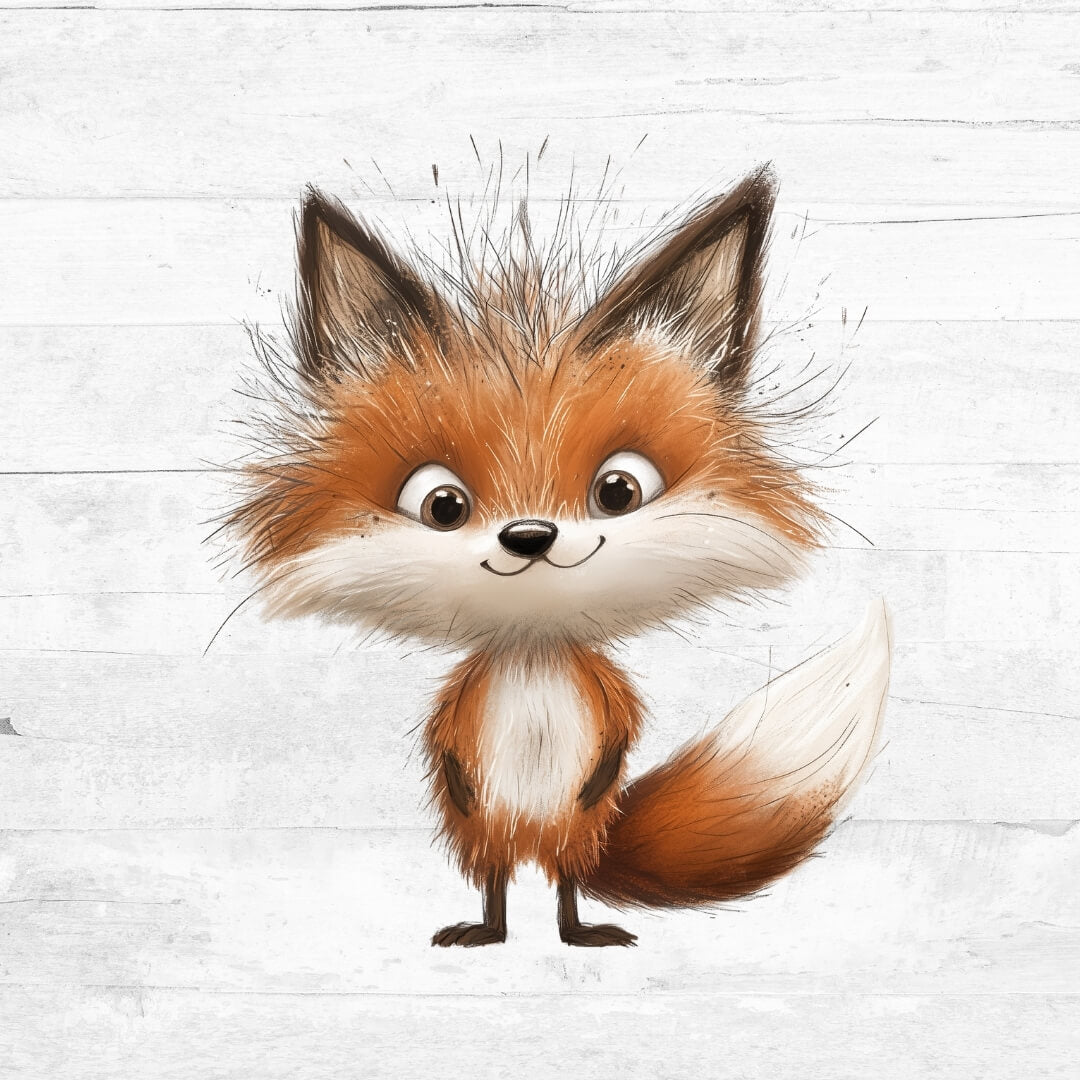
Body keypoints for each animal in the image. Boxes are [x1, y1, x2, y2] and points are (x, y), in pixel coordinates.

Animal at [226, 165, 890, 947]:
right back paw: (491, 931)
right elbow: (446, 745)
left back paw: (578, 931)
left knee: (568, 881)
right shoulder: (462, 722)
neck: (533, 650)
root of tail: (538, 844)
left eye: (619, 489)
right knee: (496, 879)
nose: (529, 536)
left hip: (576, 831)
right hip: (489, 835)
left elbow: (617, 731)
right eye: (441, 504)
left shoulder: (606, 702)